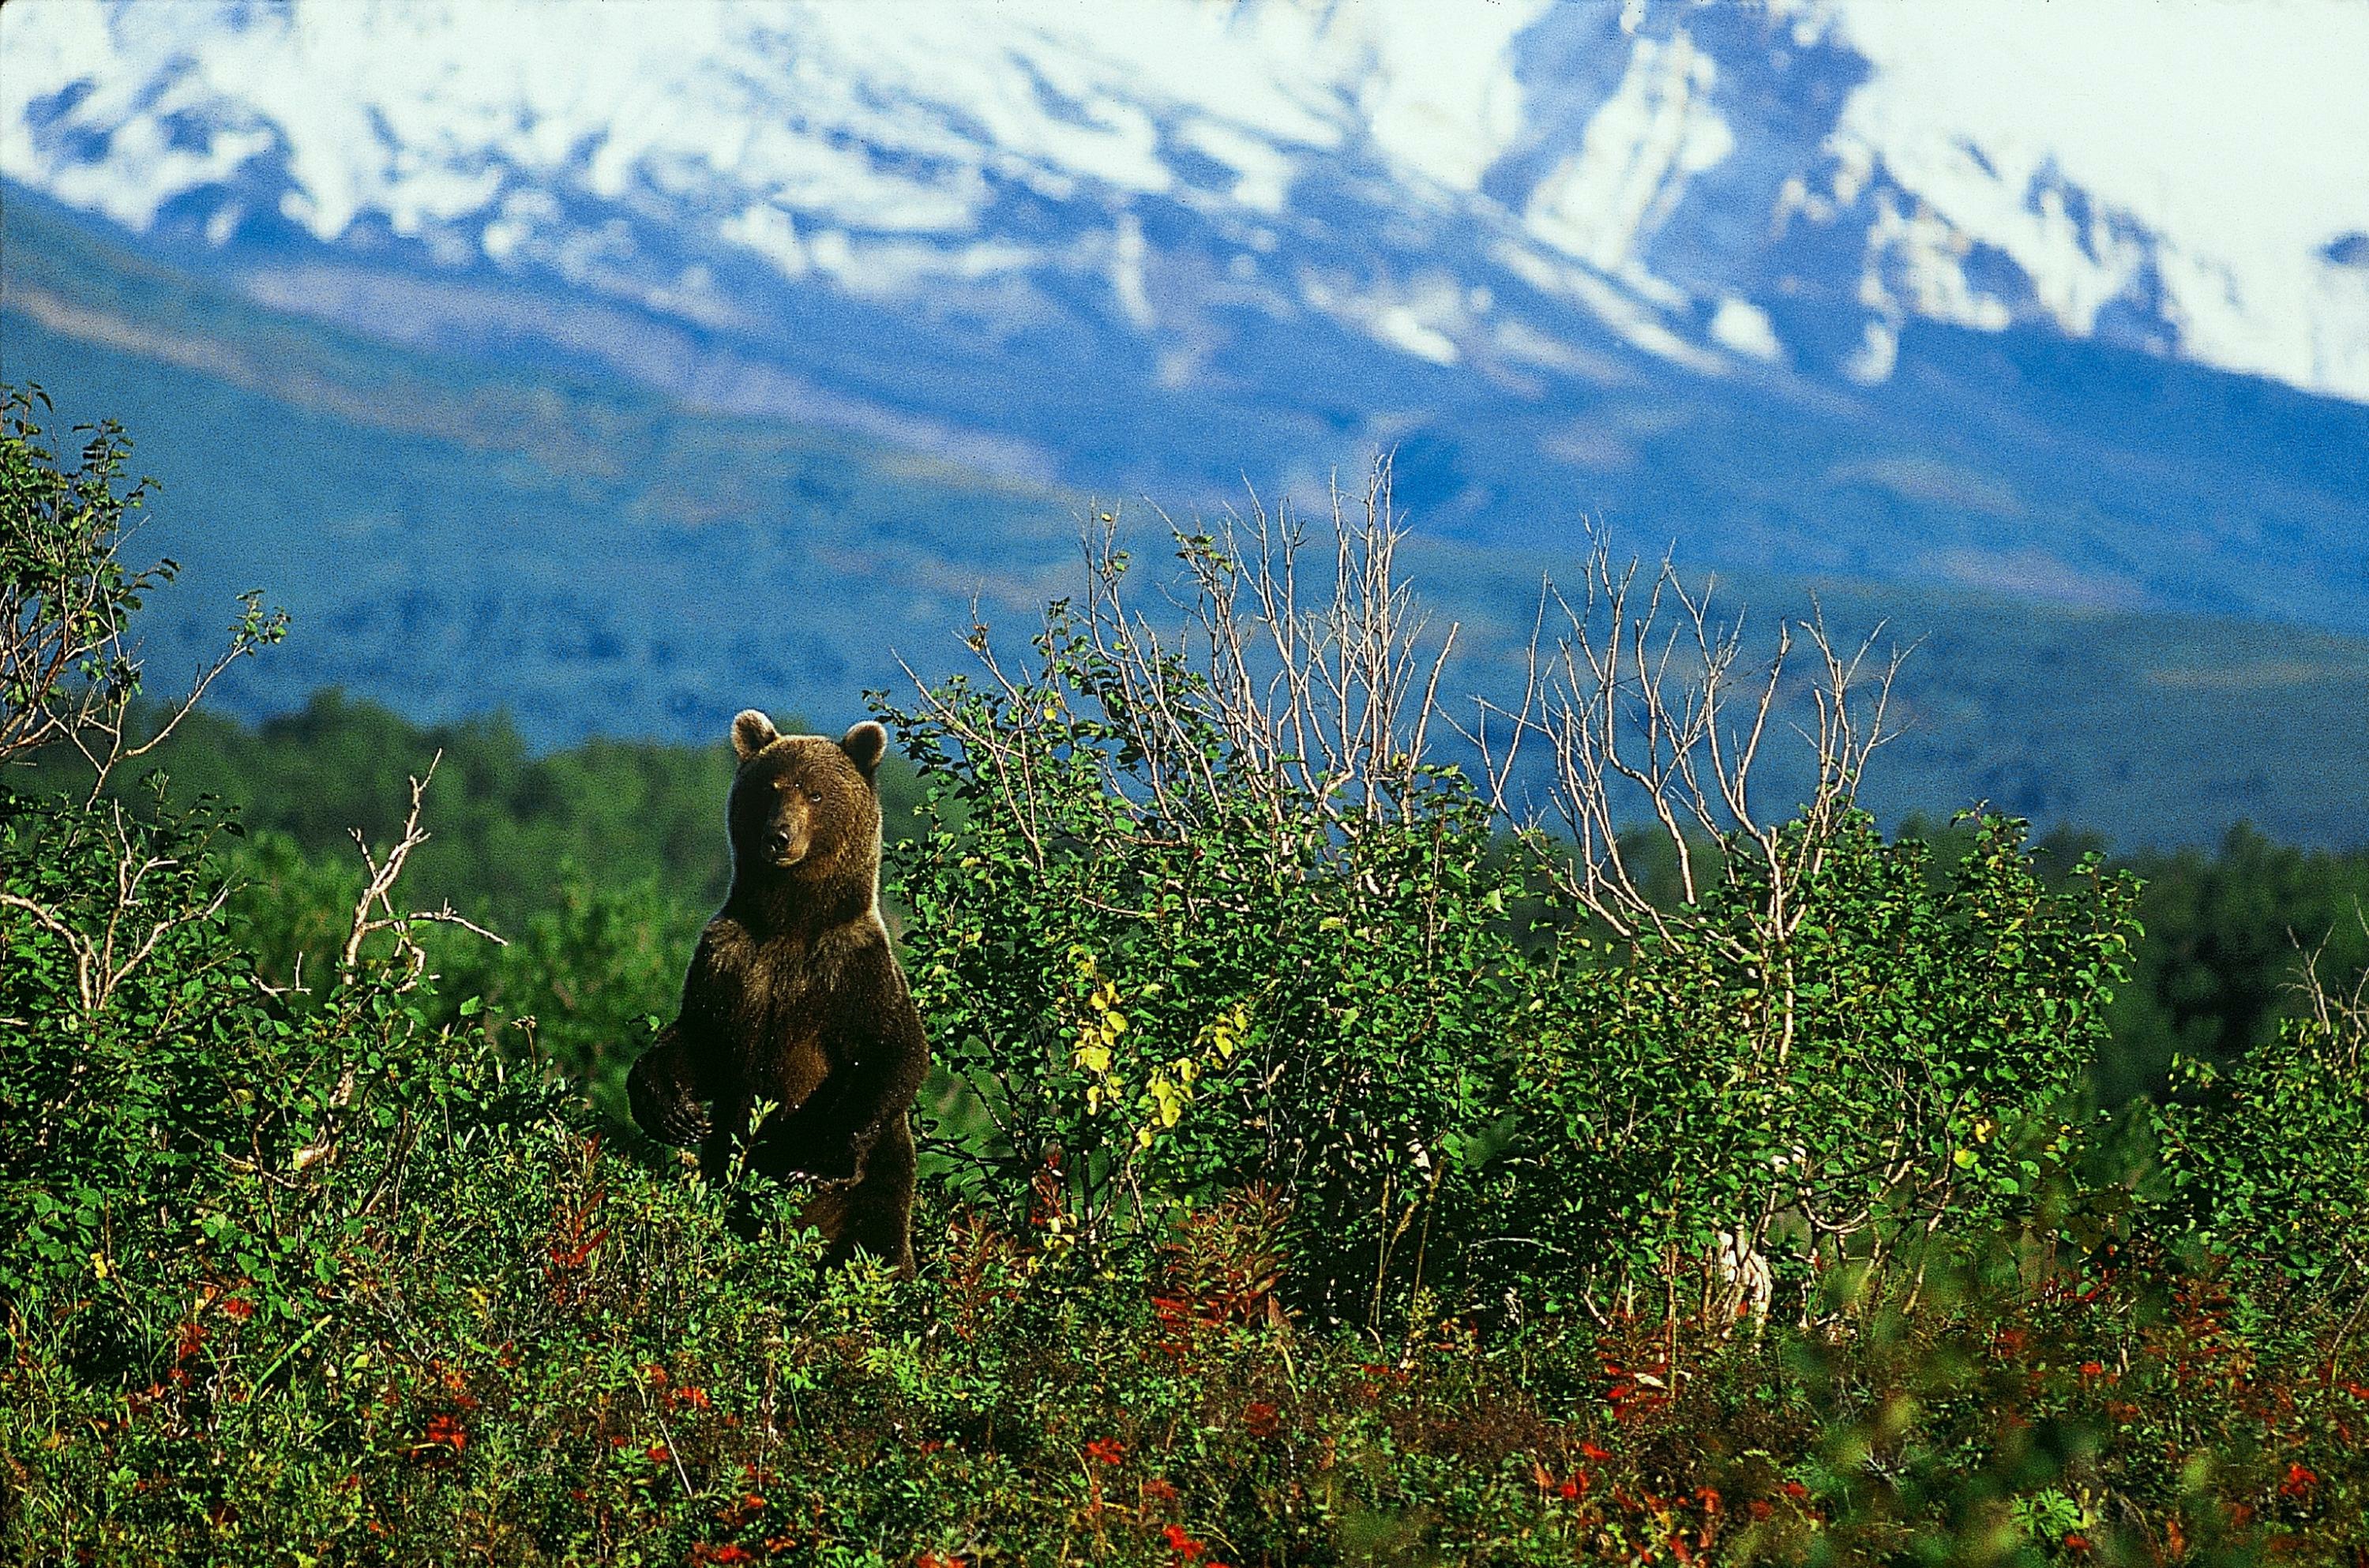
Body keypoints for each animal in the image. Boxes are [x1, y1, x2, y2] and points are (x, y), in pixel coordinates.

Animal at [630, 711, 933, 1279]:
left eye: (815, 793)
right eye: (770, 788)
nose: (779, 836)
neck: (790, 923)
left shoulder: (852, 969)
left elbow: (892, 1053)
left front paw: (817, 1166)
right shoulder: (730, 957)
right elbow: (700, 1036)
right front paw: (672, 1110)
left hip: (881, 1193)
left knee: (876, 1244)